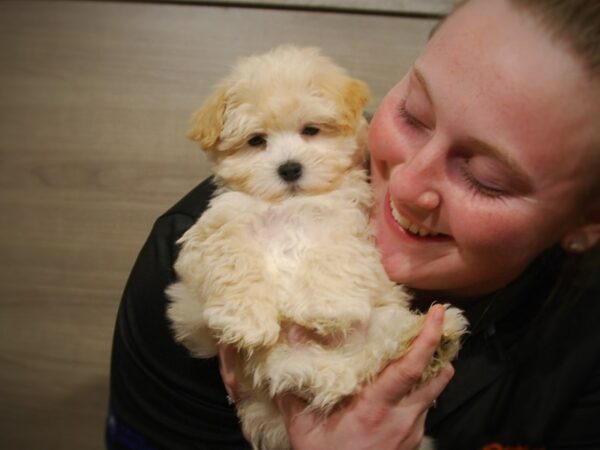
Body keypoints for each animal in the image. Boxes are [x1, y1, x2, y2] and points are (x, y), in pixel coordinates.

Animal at [165, 45, 468, 450]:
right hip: (275, 364)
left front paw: (327, 308)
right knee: (311, 374)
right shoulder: (218, 230)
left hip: (382, 320)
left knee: (376, 352)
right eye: (256, 141)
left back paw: (431, 339)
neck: (289, 205)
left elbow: (331, 258)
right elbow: (235, 262)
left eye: (310, 130)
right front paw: (247, 320)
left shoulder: (344, 225)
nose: (289, 168)